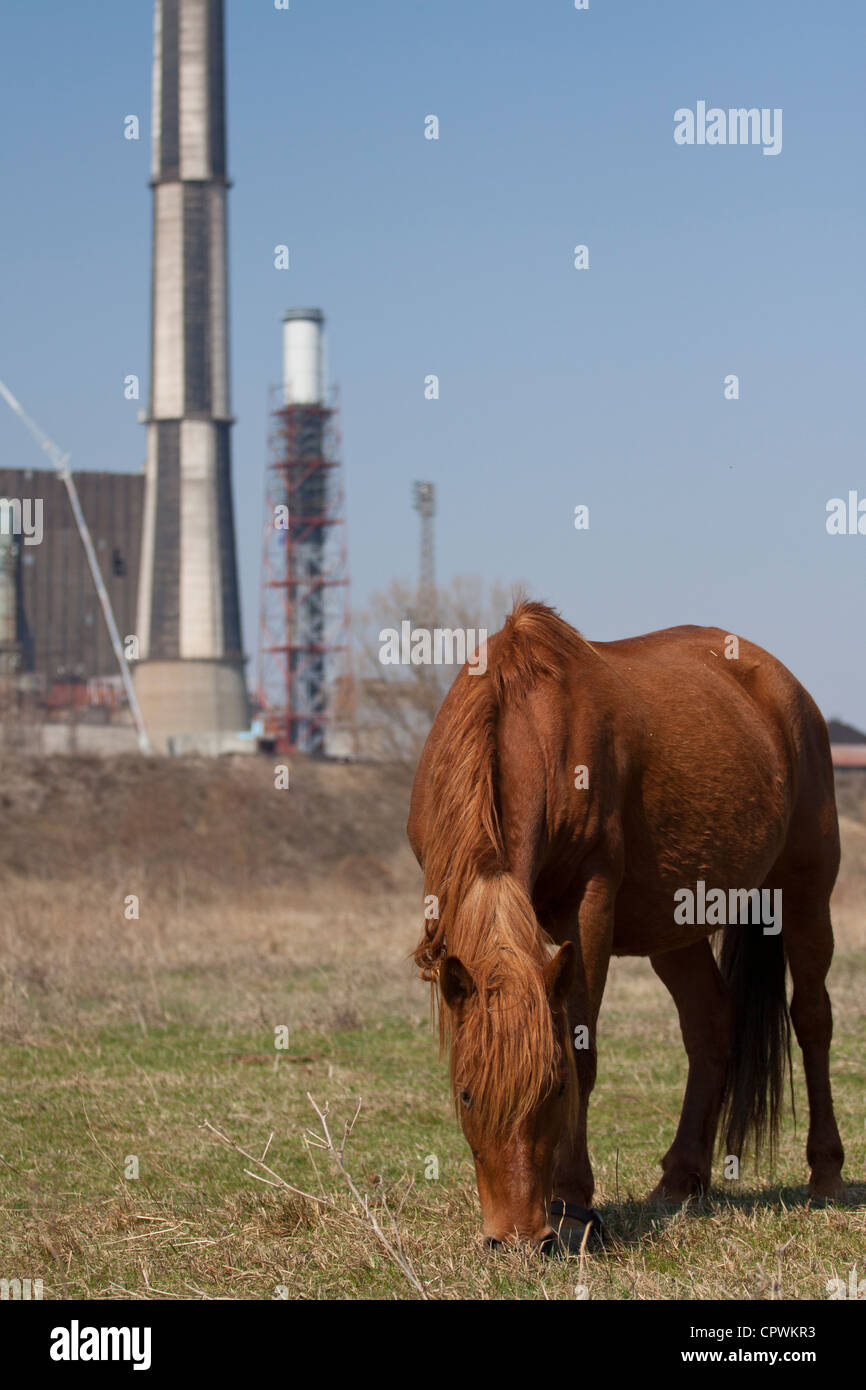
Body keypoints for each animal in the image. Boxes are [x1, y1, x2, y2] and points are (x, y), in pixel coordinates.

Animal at [405, 597, 845, 1251]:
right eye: (466, 1093)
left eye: (555, 1088)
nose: (517, 1237)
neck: (526, 719)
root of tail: (785, 688)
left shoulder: (589, 901)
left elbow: (581, 1046)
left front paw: (573, 1205)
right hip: (677, 925)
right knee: (711, 1023)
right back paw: (682, 1180)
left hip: (806, 893)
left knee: (812, 1018)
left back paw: (826, 1176)